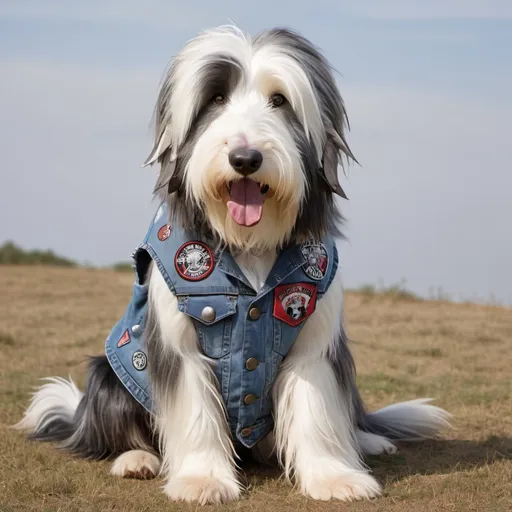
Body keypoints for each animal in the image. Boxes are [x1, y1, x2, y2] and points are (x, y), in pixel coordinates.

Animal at [15, 25, 448, 504]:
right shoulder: (179, 340)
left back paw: (367, 439)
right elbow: (194, 409)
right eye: (215, 99)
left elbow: (317, 406)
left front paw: (334, 477)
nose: (245, 159)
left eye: (280, 100)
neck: (250, 245)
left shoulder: (314, 335)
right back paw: (136, 459)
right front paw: (202, 479)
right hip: (110, 371)